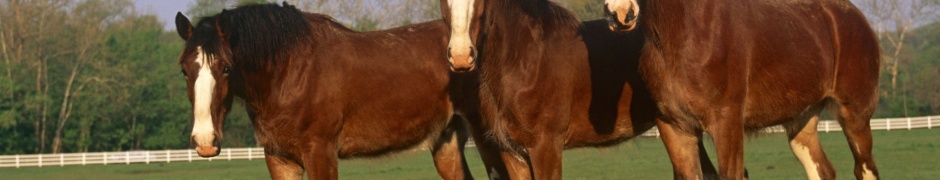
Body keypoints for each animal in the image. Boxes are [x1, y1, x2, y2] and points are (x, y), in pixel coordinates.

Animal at [174, 3, 478, 179]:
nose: (205, 141)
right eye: (185, 70)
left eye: (226, 67)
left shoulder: (321, 154)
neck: (290, 72)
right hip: (446, 144)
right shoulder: (280, 159)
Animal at [604, 0, 884, 179]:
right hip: (801, 121)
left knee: (865, 168)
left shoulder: (727, 123)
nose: (620, 13)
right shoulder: (674, 127)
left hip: (855, 116)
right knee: (822, 170)